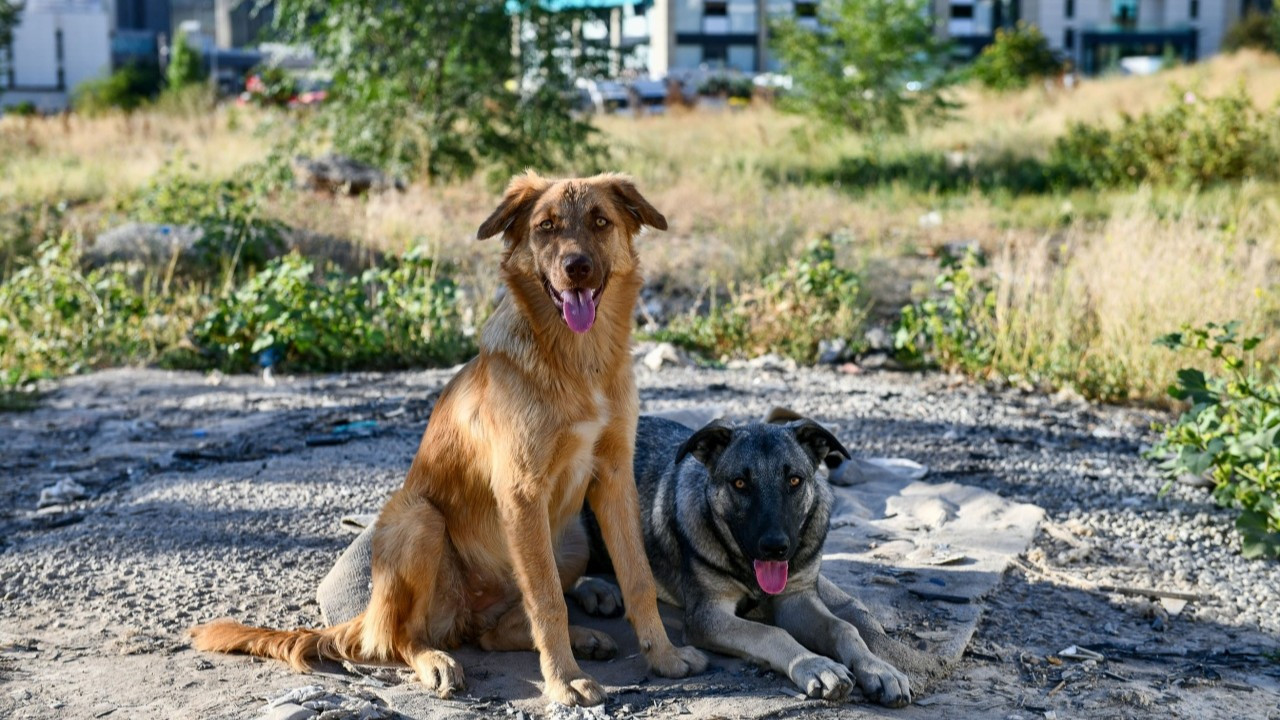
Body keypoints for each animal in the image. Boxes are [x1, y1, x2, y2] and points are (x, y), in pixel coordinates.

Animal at [186, 172, 711, 702]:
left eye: (600, 221)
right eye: (545, 227)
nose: (576, 268)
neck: (577, 363)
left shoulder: (613, 478)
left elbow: (637, 580)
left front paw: (664, 657)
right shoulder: (522, 492)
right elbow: (548, 602)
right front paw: (565, 681)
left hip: (570, 538)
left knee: (496, 631)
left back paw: (580, 637)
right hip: (419, 519)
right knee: (399, 639)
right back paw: (436, 660)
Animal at [588, 412, 911, 702]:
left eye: (794, 480)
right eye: (740, 483)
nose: (775, 547)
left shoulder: (796, 599)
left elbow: (843, 627)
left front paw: (878, 668)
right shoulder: (708, 616)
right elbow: (771, 633)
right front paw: (815, 665)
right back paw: (595, 597)